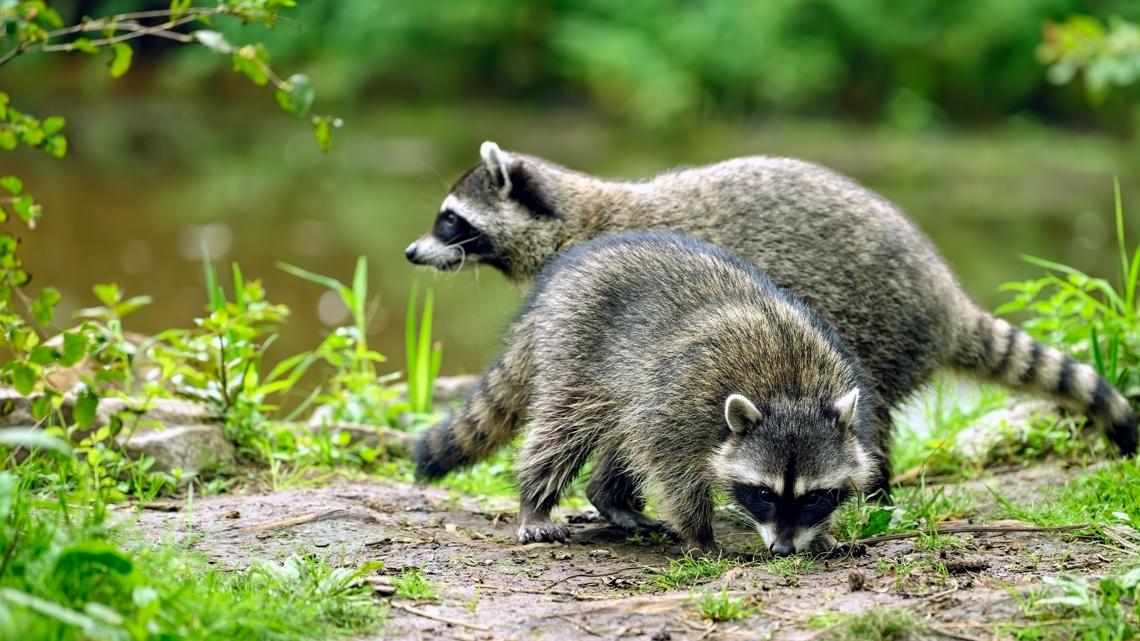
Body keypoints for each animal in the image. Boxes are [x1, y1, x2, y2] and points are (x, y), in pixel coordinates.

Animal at [406, 142, 1138, 489]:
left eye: (451, 220)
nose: (412, 252)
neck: (577, 217)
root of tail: (943, 296)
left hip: (867, 327)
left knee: (864, 411)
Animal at [417, 232, 878, 553]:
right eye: (764, 493)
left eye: (815, 495)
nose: (782, 549)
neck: (790, 391)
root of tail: (558, 279)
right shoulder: (684, 402)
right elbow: (673, 473)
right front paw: (700, 535)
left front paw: (818, 534)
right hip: (576, 352)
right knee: (563, 430)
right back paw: (536, 499)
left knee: (622, 434)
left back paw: (609, 496)